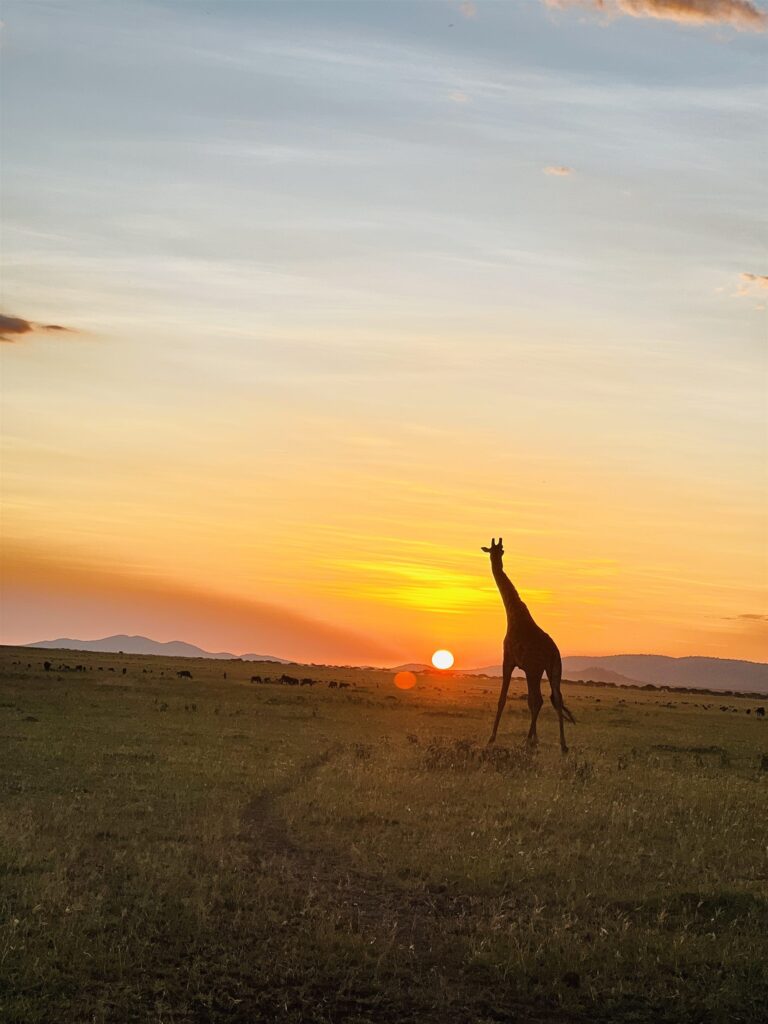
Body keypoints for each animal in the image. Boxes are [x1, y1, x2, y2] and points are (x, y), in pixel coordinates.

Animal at [482, 538, 574, 752]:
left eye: (500, 551)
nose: (496, 562)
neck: (513, 614)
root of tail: (553, 652)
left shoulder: (508, 660)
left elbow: (502, 699)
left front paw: (491, 738)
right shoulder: (525, 668)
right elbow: (530, 702)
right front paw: (536, 739)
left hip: (535, 669)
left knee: (539, 699)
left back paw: (526, 741)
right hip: (554, 669)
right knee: (557, 699)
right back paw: (562, 745)